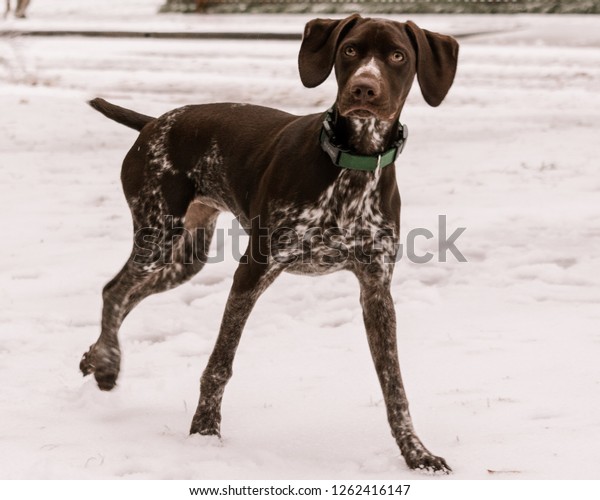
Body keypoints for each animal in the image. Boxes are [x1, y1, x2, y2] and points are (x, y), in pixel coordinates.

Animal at [82, 12, 460, 472]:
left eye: (398, 56)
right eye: (350, 49)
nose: (364, 88)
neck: (351, 167)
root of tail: (154, 122)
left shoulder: (376, 289)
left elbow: (394, 385)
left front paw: (416, 452)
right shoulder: (253, 271)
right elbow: (220, 363)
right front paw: (205, 432)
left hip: (184, 258)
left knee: (126, 294)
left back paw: (95, 356)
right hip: (158, 235)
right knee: (115, 290)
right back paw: (107, 366)